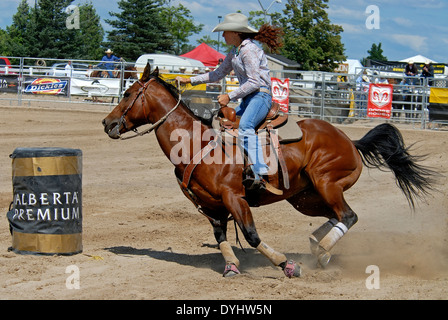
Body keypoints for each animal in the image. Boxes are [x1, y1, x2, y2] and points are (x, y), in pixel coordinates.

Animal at [102, 62, 438, 278]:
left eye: (128, 93)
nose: (107, 123)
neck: (197, 143)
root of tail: (351, 141)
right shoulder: (210, 207)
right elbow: (222, 237)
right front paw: (231, 267)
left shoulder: (235, 198)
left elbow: (251, 235)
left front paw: (287, 265)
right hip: (305, 197)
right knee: (337, 215)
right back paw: (319, 247)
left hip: (327, 183)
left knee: (349, 216)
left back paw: (320, 252)